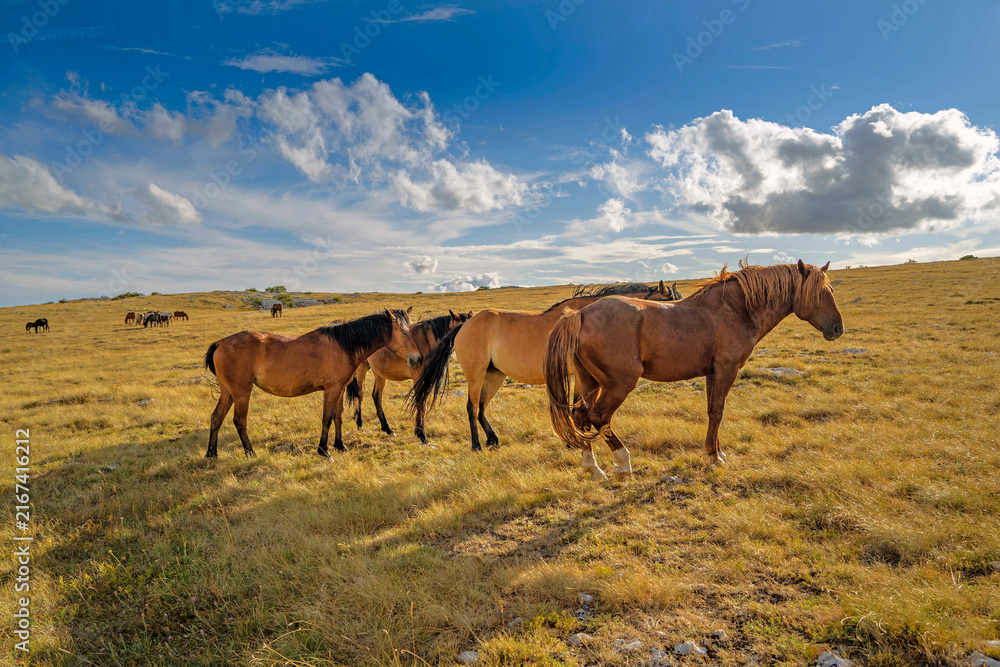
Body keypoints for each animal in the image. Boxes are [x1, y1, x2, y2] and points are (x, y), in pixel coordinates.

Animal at [203, 308, 421, 458]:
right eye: (404, 332)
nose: (417, 358)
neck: (344, 344)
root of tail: (220, 342)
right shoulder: (331, 389)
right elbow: (327, 419)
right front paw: (324, 451)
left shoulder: (340, 388)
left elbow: (338, 416)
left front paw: (340, 445)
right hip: (241, 392)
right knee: (239, 421)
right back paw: (250, 452)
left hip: (228, 392)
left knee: (216, 418)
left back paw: (211, 454)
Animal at [347, 310, 472, 442]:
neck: (426, 341)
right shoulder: (417, 378)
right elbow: (420, 403)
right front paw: (421, 435)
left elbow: (422, 402)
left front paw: (419, 432)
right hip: (362, 370)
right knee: (359, 395)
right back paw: (360, 425)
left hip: (379, 374)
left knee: (376, 396)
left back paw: (388, 429)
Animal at [408, 281, 682, 451]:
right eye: (669, 304)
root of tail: (465, 324)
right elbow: (578, 407)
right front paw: (577, 441)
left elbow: (579, 407)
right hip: (476, 376)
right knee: (472, 408)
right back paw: (476, 445)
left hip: (494, 375)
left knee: (483, 407)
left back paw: (493, 440)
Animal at [544, 260, 843, 479]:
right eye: (820, 293)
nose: (837, 328)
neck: (735, 310)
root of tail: (580, 314)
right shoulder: (726, 371)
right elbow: (718, 412)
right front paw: (714, 457)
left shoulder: (712, 374)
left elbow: (712, 412)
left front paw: (715, 452)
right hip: (618, 384)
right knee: (599, 417)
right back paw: (623, 462)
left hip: (590, 383)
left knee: (580, 416)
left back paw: (593, 467)